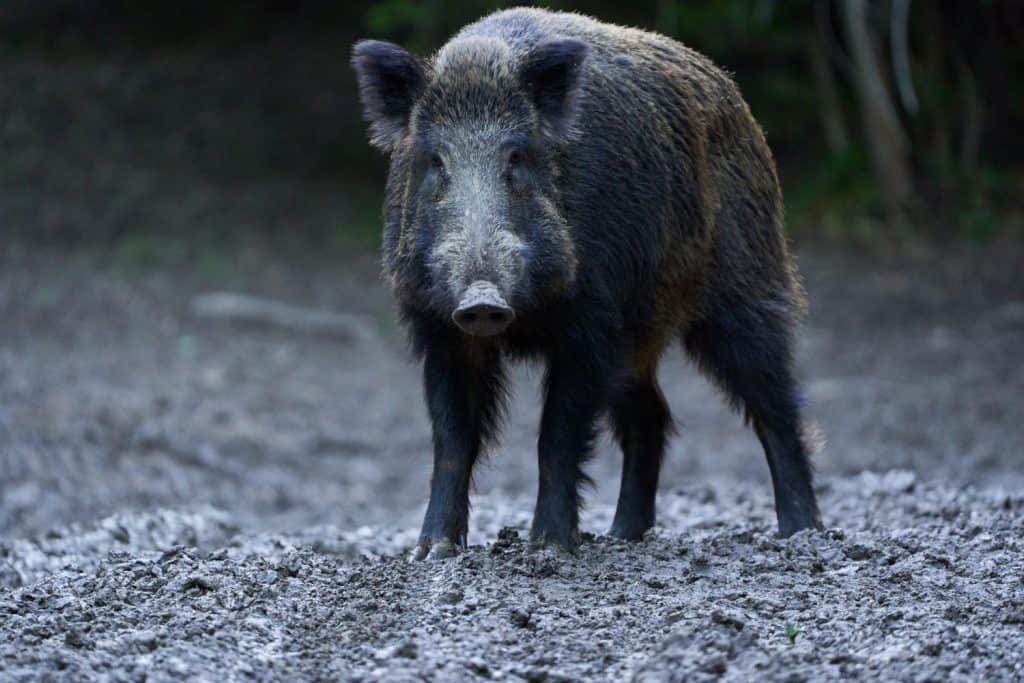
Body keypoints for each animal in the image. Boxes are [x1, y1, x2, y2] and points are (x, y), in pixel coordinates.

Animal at [351, 8, 822, 558]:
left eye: (516, 158)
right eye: (436, 160)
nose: (482, 298)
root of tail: (737, 101)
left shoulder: (592, 321)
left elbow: (556, 435)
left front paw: (549, 547)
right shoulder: (440, 326)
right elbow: (452, 439)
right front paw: (432, 550)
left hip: (747, 285)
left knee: (775, 403)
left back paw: (802, 533)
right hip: (640, 336)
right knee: (650, 417)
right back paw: (623, 535)